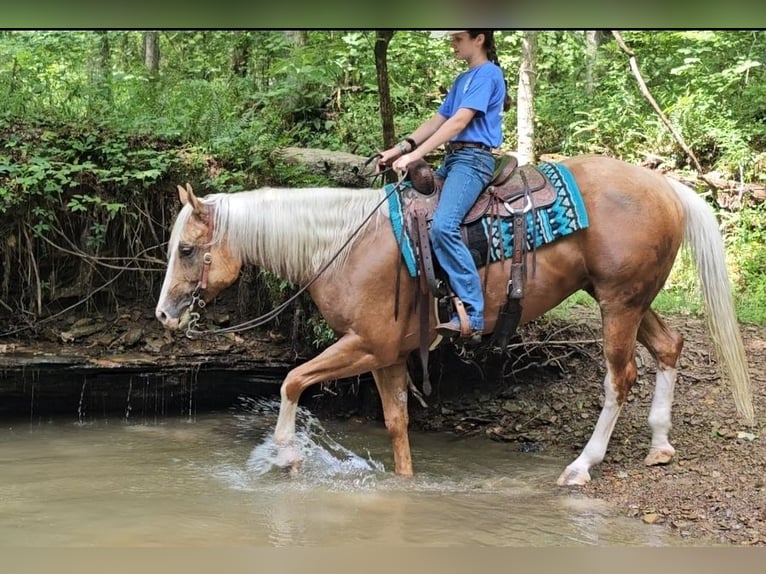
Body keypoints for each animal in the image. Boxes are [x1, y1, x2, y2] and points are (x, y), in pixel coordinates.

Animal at [153, 156, 752, 486]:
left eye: (186, 250)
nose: (164, 314)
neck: (343, 245)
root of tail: (666, 186)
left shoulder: (365, 344)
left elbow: (292, 380)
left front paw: (286, 457)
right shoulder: (388, 356)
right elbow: (397, 422)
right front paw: (404, 483)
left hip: (618, 305)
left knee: (619, 378)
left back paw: (583, 466)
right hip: (629, 299)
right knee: (670, 346)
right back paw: (659, 446)